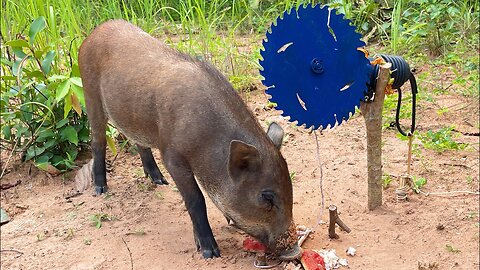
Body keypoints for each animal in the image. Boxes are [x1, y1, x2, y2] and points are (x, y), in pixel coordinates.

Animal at [78, 19, 300, 260]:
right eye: (266, 197)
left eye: (290, 188)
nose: (294, 250)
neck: (207, 141)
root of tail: (95, 32)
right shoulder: (172, 156)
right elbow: (195, 199)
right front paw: (210, 253)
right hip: (90, 95)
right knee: (97, 142)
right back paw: (101, 190)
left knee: (139, 142)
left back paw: (159, 181)